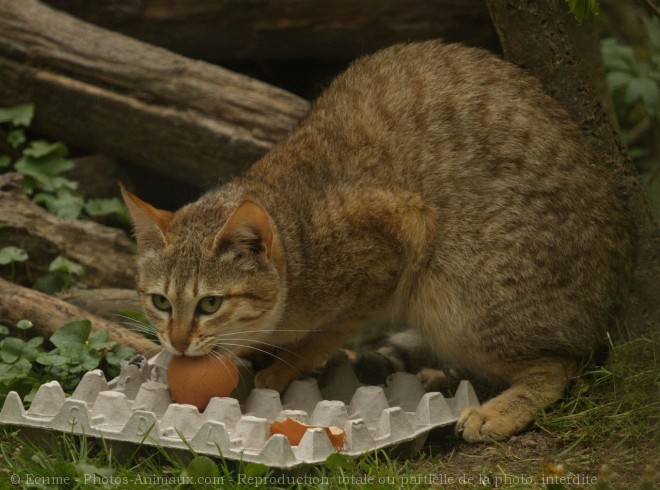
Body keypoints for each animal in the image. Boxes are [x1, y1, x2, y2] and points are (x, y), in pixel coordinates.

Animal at [121, 40, 632, 442]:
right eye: (160, 302)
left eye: (210, 303)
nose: (178, 342)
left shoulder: (402, 232)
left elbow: (329, 329)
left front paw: (285, 363)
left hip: (454, 296)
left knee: (560, 363)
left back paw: (499, 410)